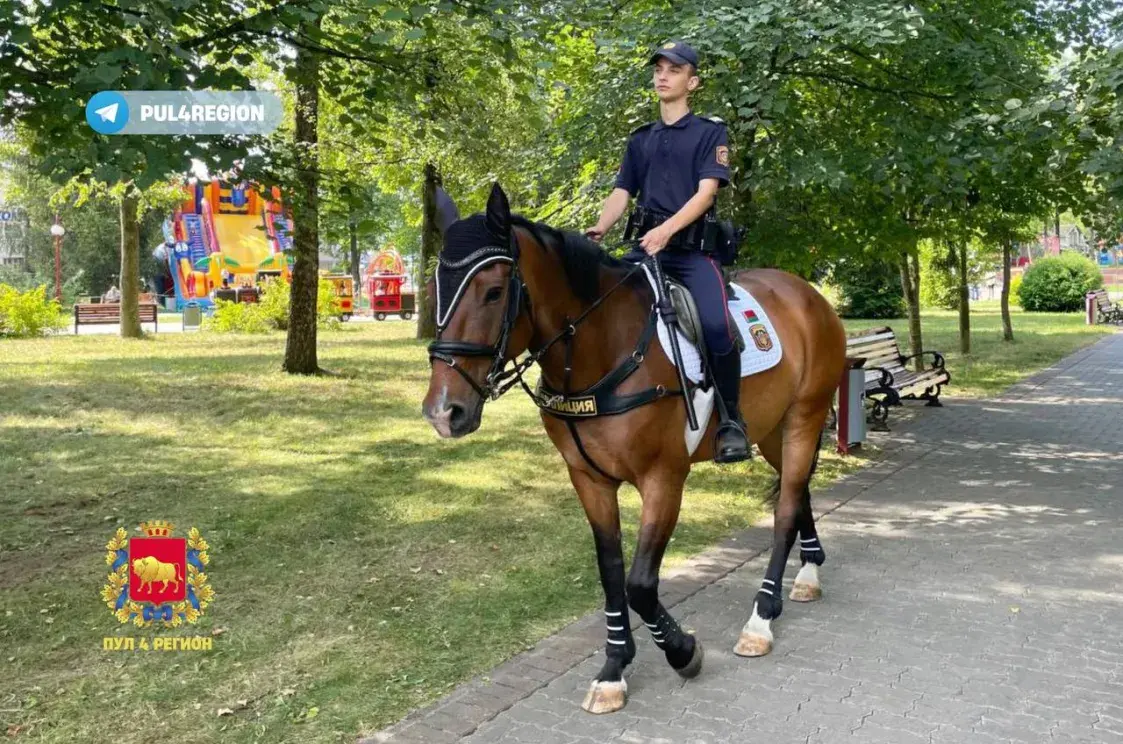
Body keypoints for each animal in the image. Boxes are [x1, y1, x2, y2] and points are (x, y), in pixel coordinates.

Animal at [422, 182, 844, 713]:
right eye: (436, 289)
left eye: (495, 291)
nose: (443, 411)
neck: (604, 349)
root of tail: (808, 295)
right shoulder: (588, 480)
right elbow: (611, 573)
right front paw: (613, 668)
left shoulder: (664, 478)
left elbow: (640, 583)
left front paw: (683, 651)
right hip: (773, 430)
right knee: (799, 491)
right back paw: (807, 574)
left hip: (805, 418)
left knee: (787, 506)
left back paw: (762, 617)